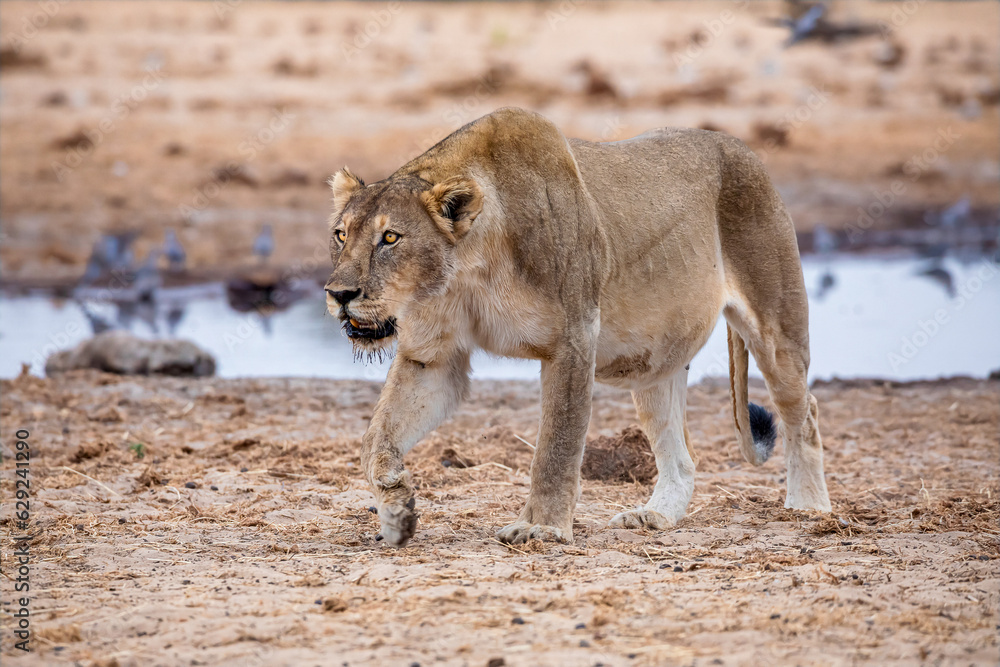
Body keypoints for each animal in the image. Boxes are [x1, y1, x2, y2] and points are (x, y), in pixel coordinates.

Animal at [325, 107, 831, 547]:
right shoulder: (432, 356)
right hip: (655, 362)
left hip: (776, 327)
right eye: (341, 234)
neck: (468, 268)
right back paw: (656, 515)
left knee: (803, 411)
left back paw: (808, 507)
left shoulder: (574, 338)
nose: (338, 294)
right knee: (681, 452)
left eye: (391, 238)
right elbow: (377, 437)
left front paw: (543, 528)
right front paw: (397, 506)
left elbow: (556, 446)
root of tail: (739, 146)